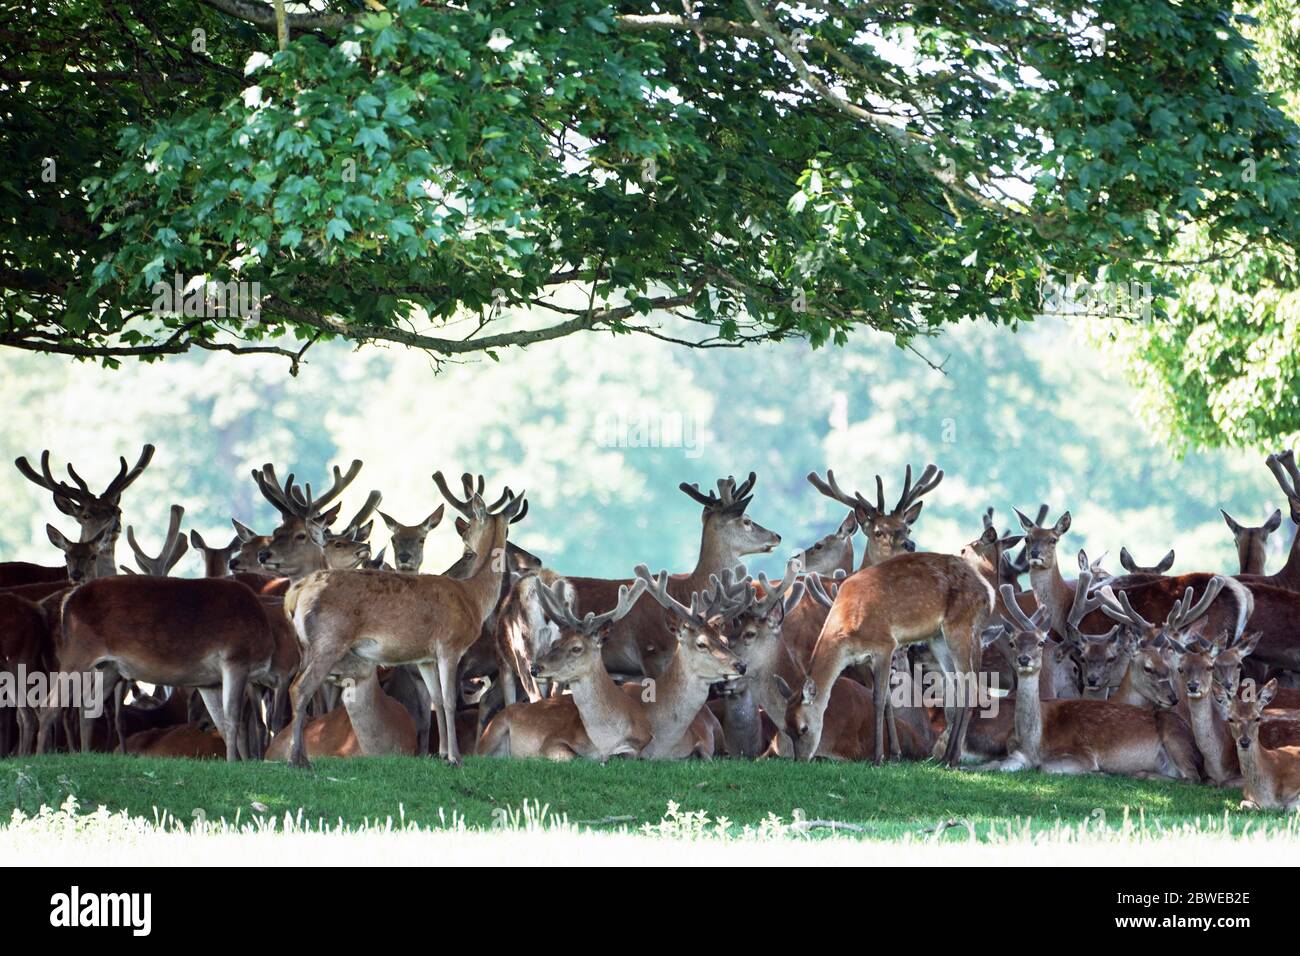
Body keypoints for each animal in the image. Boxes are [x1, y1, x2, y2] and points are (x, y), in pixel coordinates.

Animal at [478, 574, 650, 764]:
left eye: (577, 648)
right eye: (555, 644)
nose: (535, 668)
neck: (604, 741)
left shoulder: (639, 745)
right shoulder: (552, 741)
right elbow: (574, 756)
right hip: (495, 729)